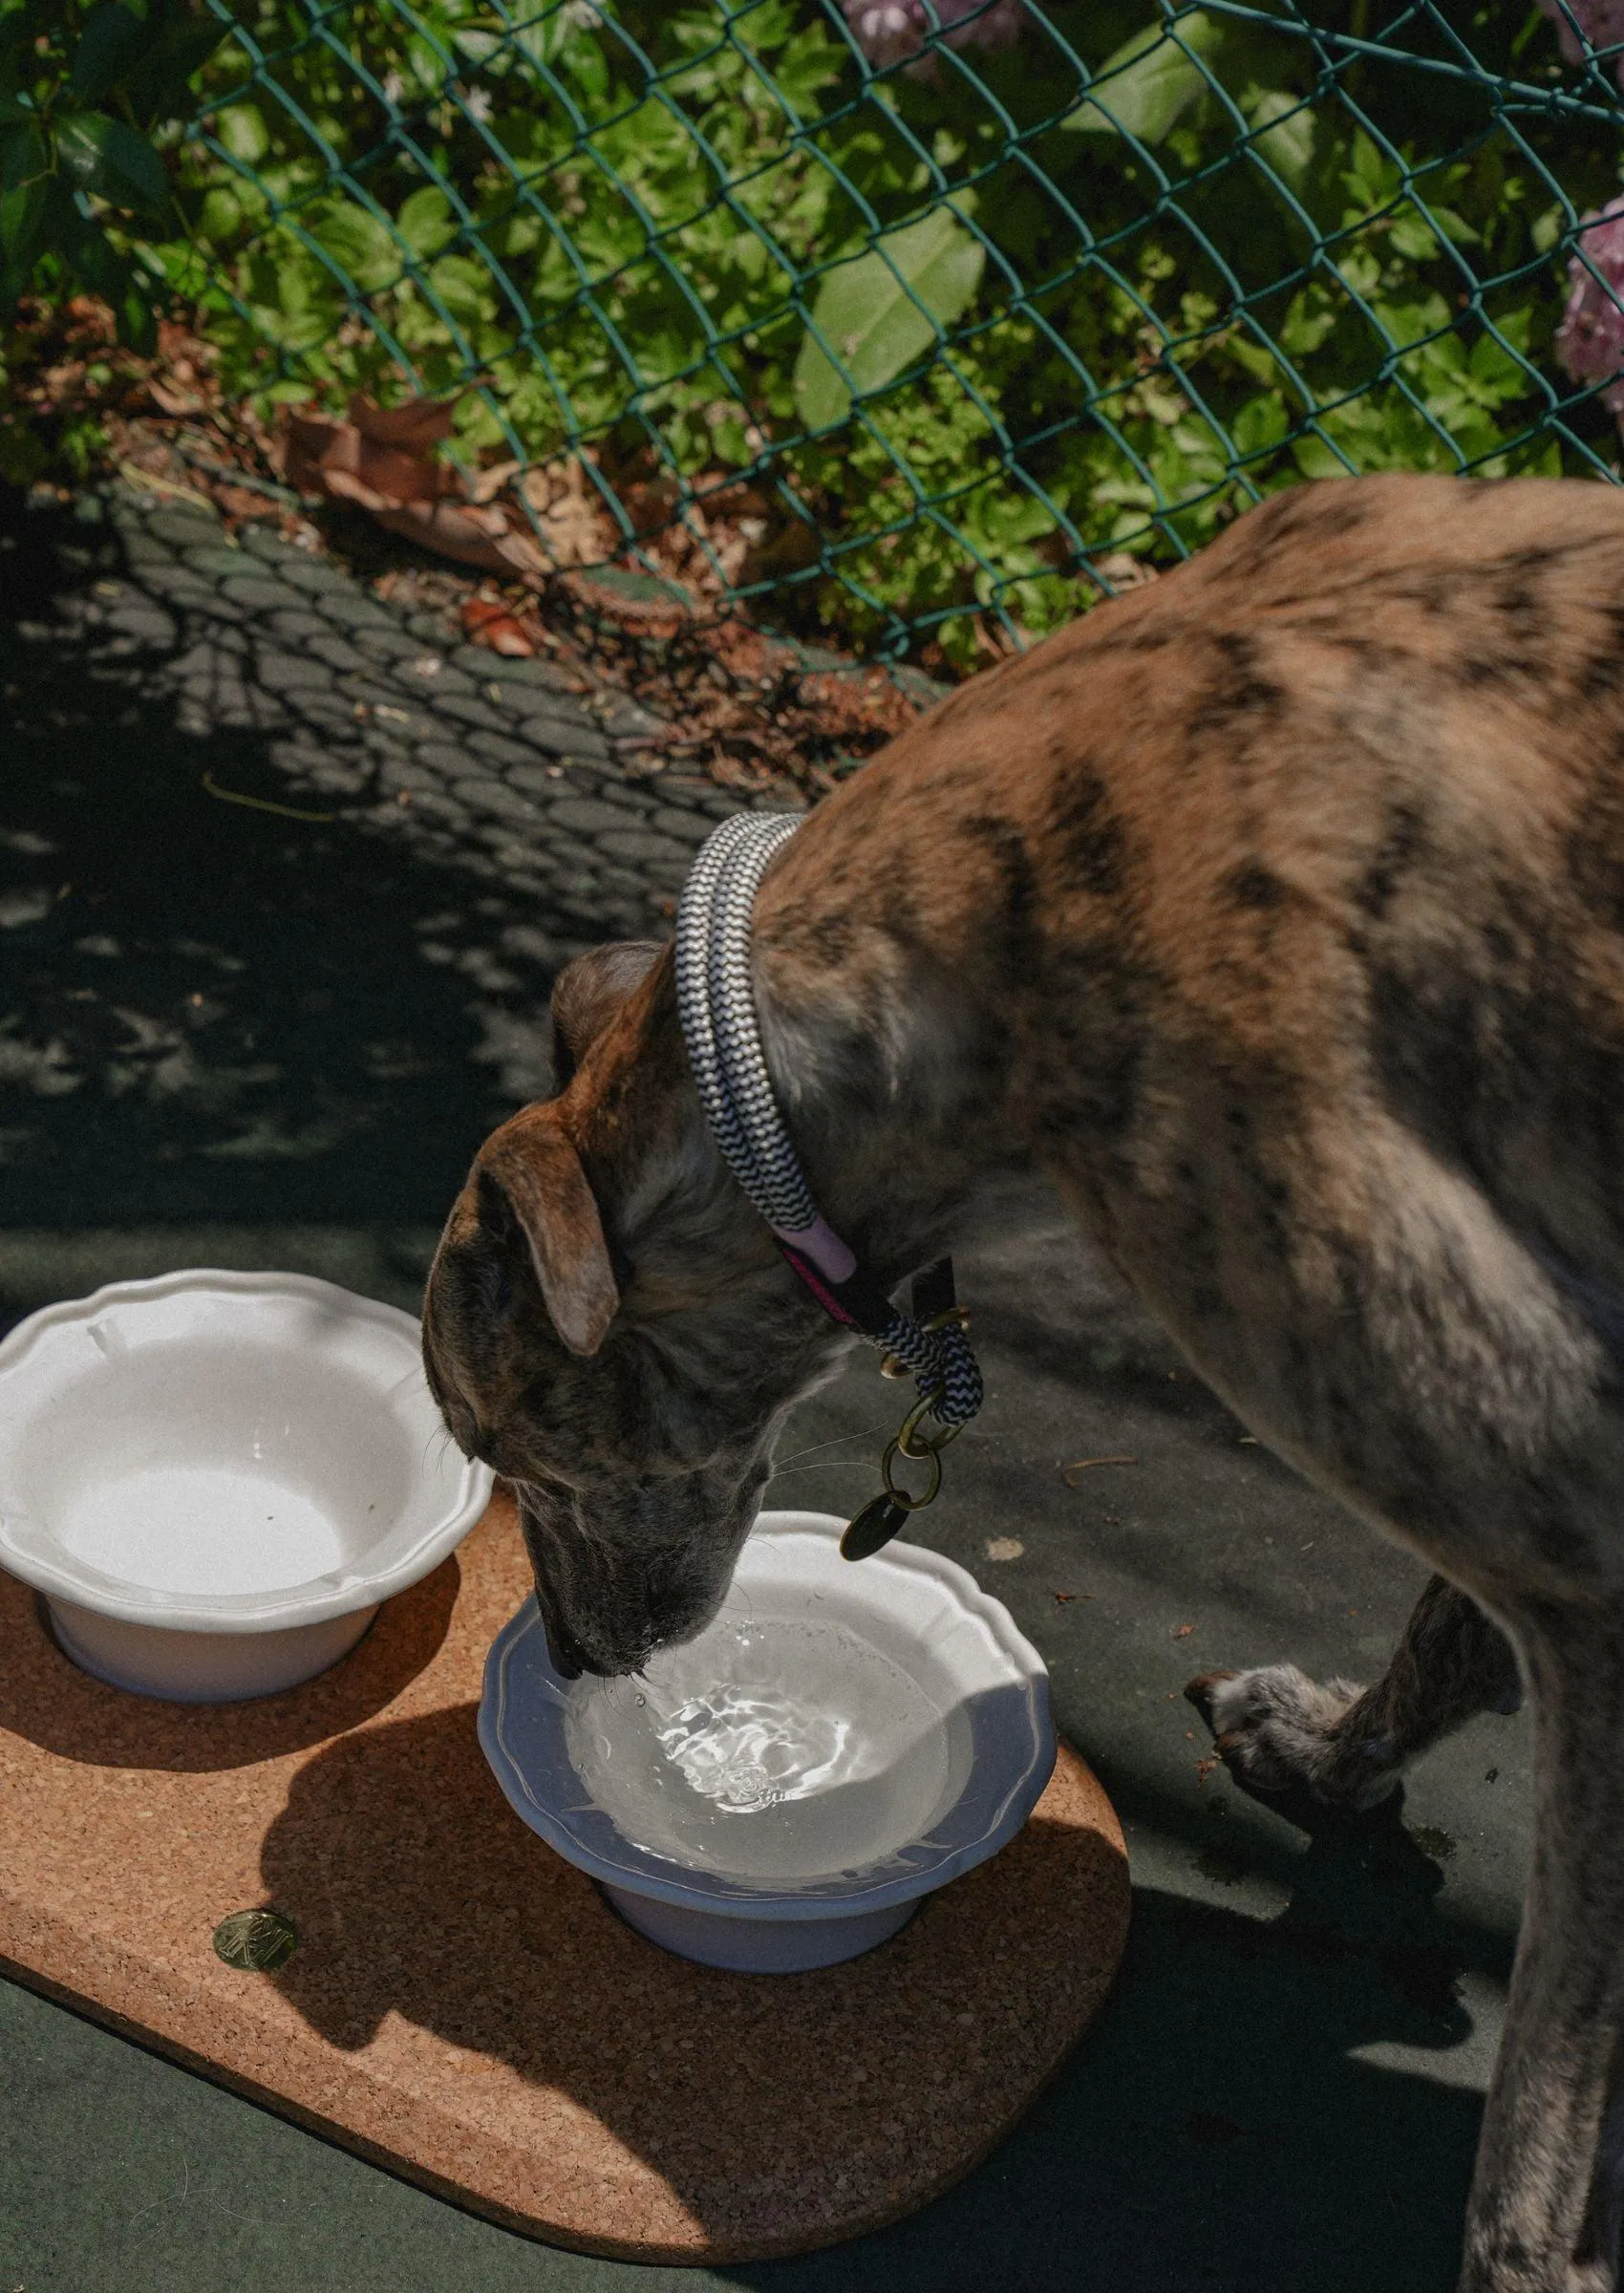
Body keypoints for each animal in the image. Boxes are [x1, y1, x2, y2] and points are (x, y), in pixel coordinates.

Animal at [424, 474, 1624, 2283]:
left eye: (500, 1442)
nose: (568, 1662)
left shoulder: (1585, 1548)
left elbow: (1537, 2145)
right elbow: (1452, 1627)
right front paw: (1334, 1756)